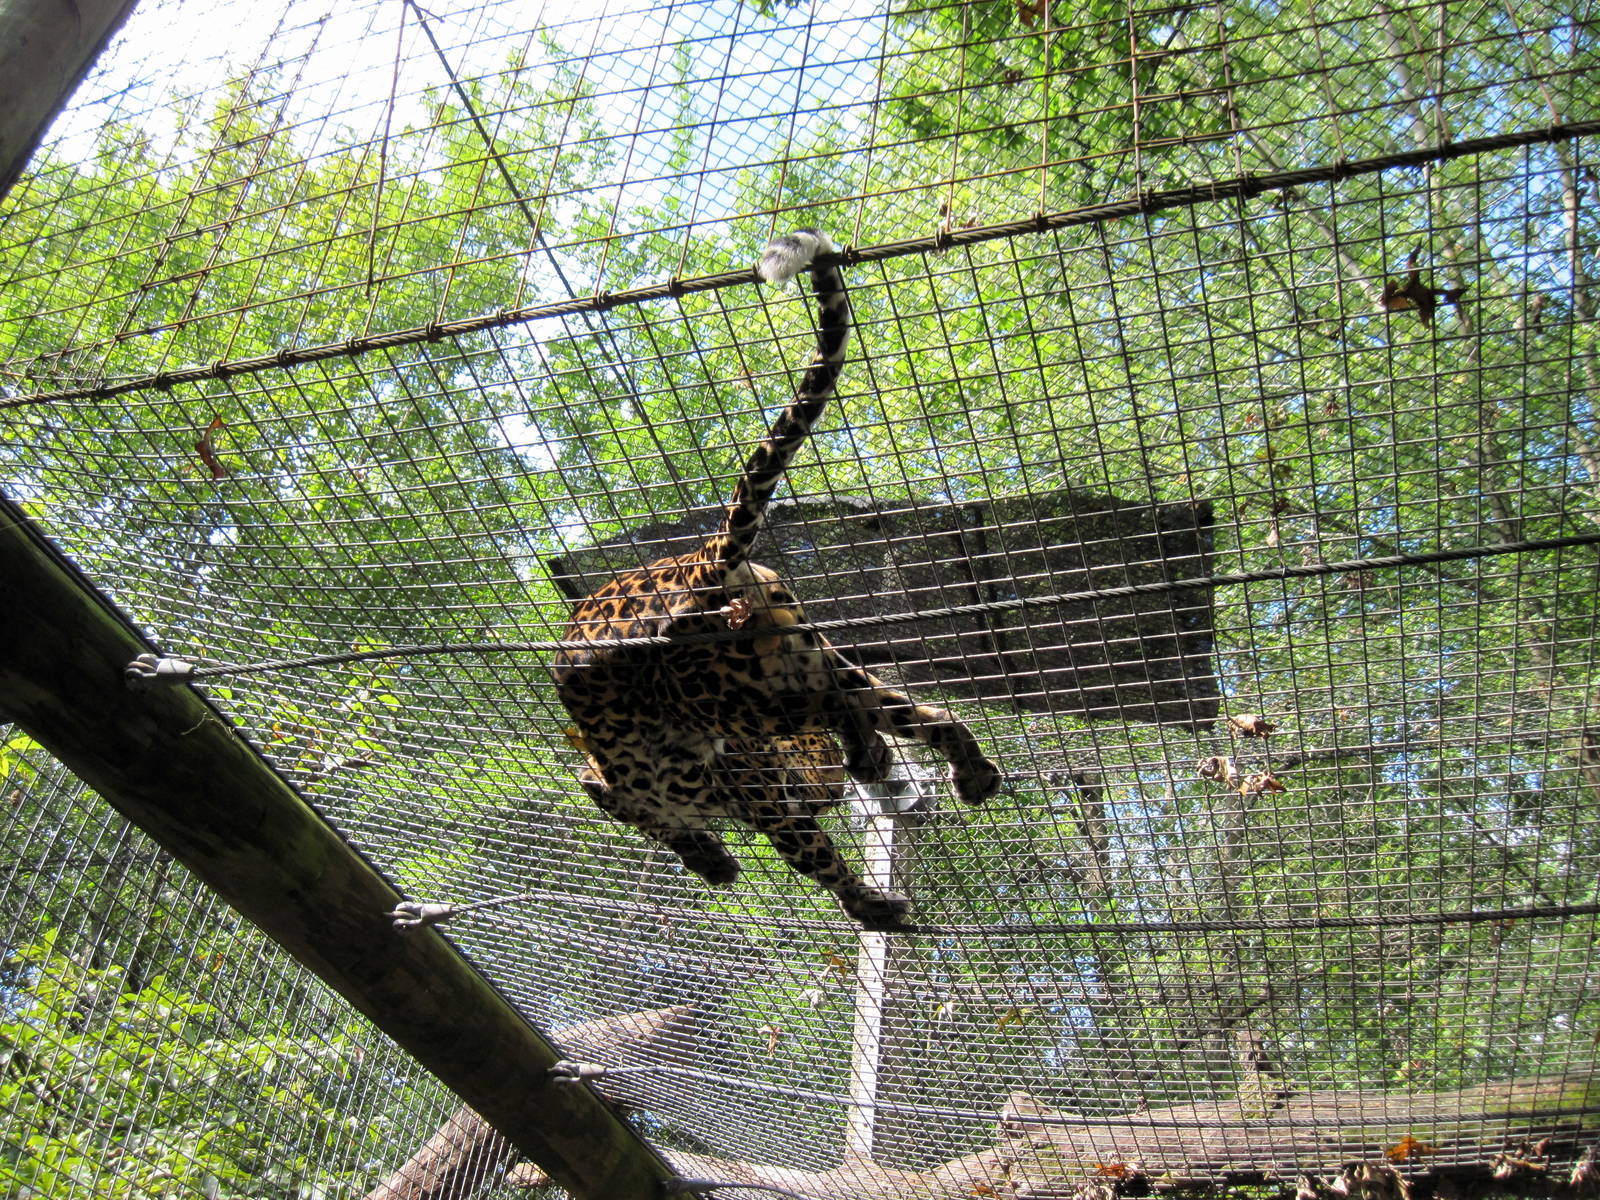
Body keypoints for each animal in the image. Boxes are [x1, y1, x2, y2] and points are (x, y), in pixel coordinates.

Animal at [551, 229, 1001, 928]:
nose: (825, 790)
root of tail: (698, 563)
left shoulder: (751, 798)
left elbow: (809, 856)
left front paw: (865, 904)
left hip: (735, 699)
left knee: (844, 708)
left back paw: (872, 759)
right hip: (799, 660)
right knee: (909, 709)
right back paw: (955, 770)